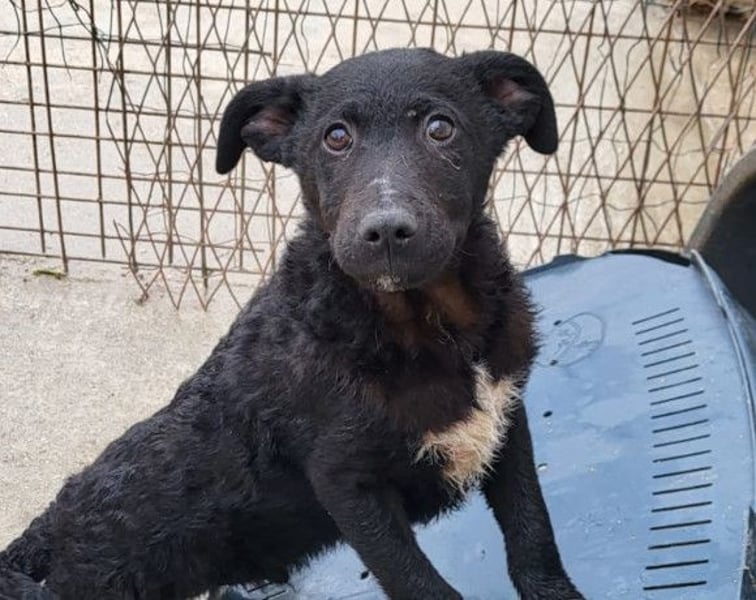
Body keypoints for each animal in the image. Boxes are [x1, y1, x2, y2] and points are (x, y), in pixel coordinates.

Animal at [0, 48, 582, 599]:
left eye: (441, 128)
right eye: (336, 137)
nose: (386, 231)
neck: (426, 323)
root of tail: (48, 530)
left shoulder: (506, 420)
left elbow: (533, 533)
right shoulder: (348, 483)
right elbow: (422, 584)